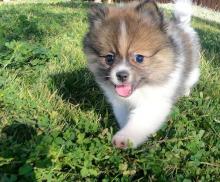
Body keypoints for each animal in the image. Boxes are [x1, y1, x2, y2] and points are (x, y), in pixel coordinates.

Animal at [82, 0, 199, 148]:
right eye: (109, 58)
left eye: (139, 58)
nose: (121, 75)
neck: (139, 91)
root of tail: (181, 23)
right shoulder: (120, 103)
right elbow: (125, 117)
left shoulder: (153, 103)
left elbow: (138, 122)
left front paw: (124, 138)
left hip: (193, 72)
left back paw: (185, 92)